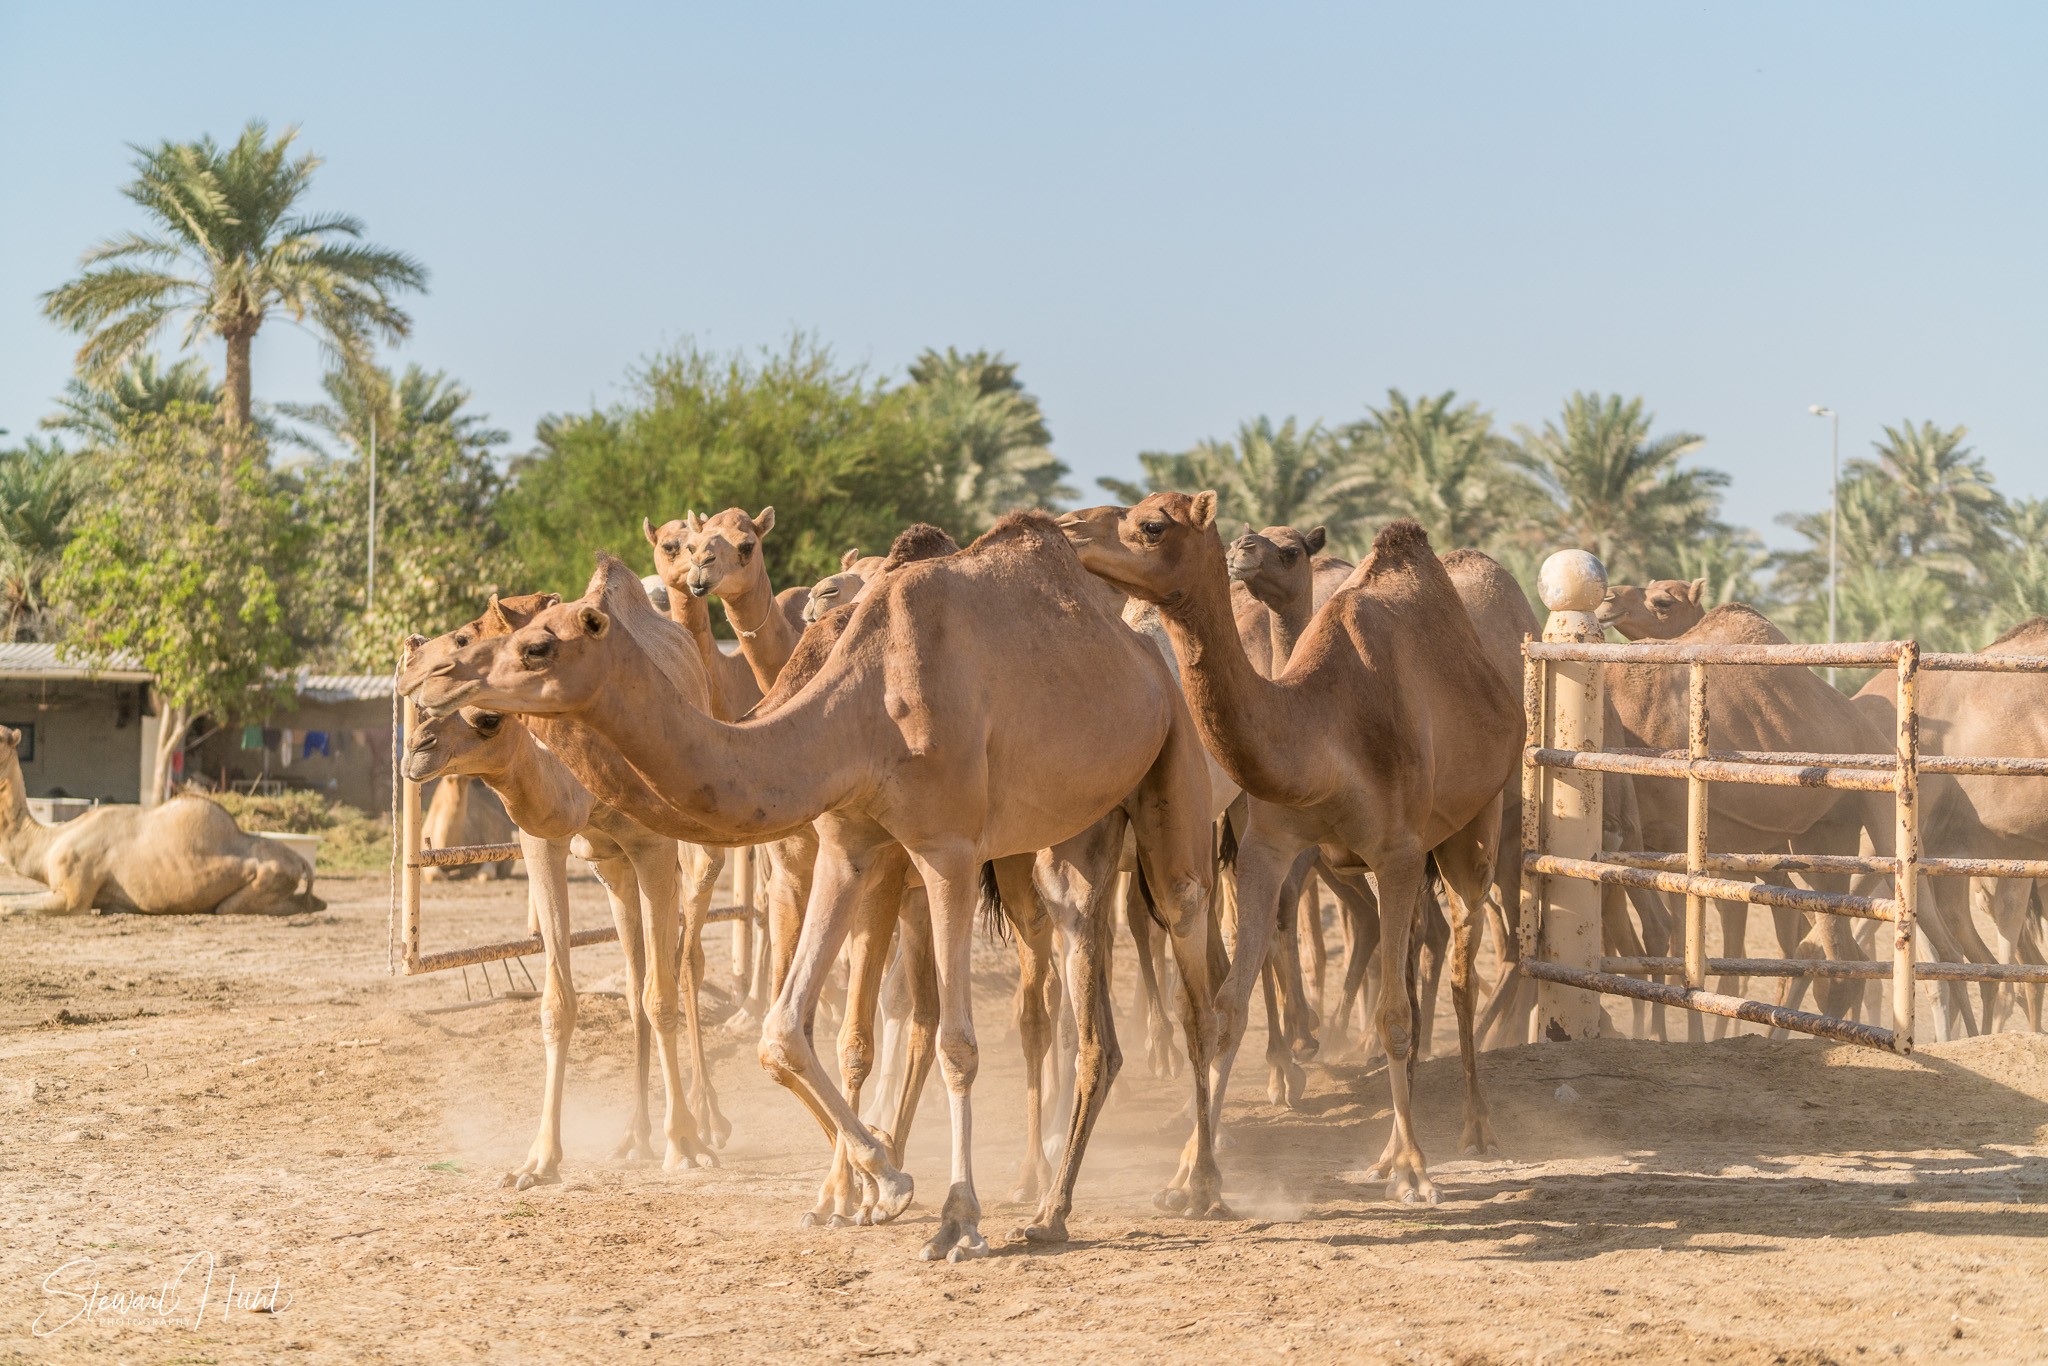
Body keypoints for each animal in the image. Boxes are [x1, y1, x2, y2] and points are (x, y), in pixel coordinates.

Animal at [0, 728, 320, 916]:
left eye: (2, 738)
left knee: (237, 907)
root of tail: (301, 862)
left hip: (265, 882)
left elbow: (9, 907)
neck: (48, 843)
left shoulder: (74, 895)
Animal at [410, 519, 1223, 1259]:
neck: (867, 705)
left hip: (1171, 778)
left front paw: (956, 1218)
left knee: (1192, 964)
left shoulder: (948, 850)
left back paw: (1200, 1186)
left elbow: (956, 1042)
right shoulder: (850, 843)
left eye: (537, 647)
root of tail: (1143, 655)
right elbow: (783, 1030)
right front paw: (884, 1181)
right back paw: (1051, 1212)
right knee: (1092, 1012)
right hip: (1077, 835)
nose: (431, 680)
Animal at [1061, 497, 1521, 1204]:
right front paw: (1192, 1176)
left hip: (1473, 829)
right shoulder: (1266, 847)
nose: (1066, 529)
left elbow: (1393, 1015)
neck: (1321, 732)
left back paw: (1473, 1129)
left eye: (1152, 525)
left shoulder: (1396, 852)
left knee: (1462, 968)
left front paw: (1415, 1171)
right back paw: (1385, 1145)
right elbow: (1227, 1007)